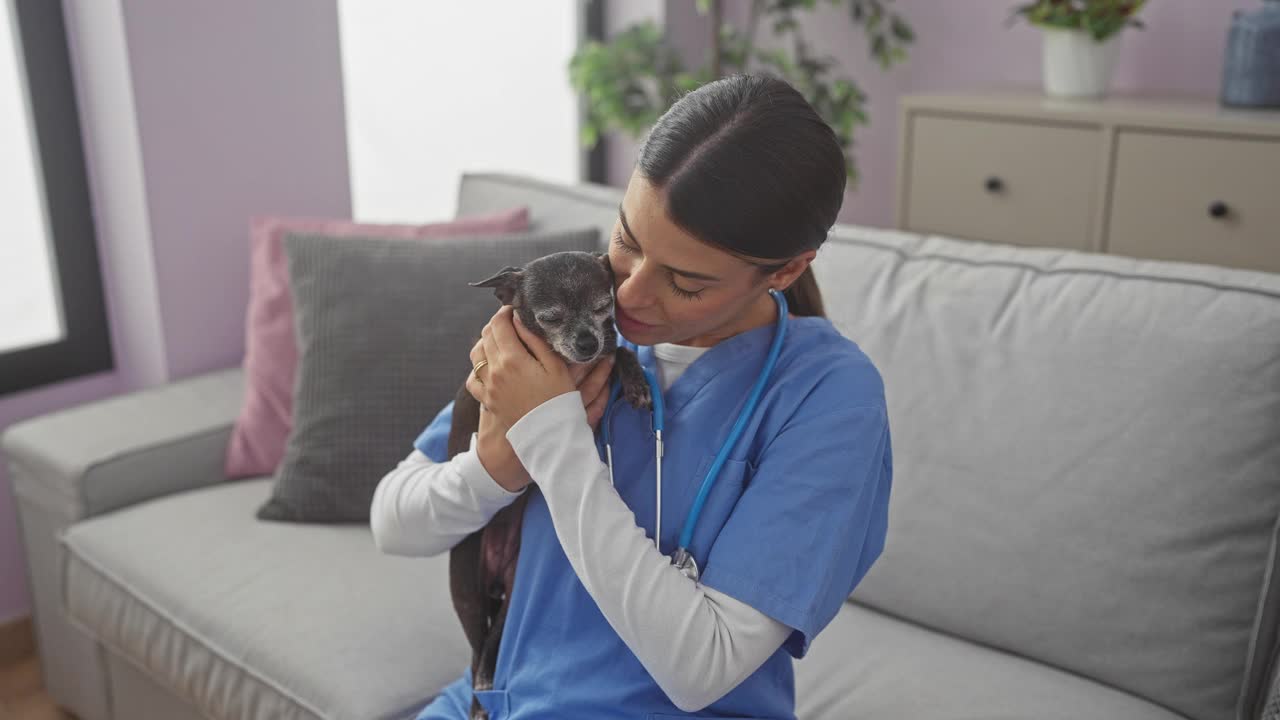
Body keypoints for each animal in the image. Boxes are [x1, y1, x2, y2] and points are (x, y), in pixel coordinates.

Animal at [448, 249, 650, 712]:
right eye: (551, 317)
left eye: (604, 306)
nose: (587, 342)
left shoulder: (606, 349)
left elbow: (619, 353)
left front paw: (635, 379)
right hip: (465, 588)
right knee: (475, 651)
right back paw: (481, 694)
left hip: (512, 584)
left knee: (495, 636)